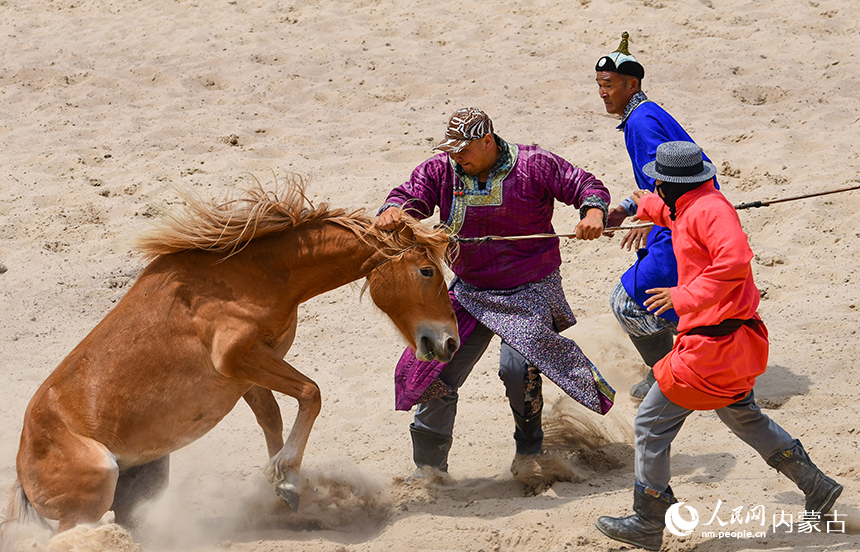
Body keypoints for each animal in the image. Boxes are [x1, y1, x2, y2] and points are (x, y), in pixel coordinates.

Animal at [6, 180, 459, 533]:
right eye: (426, 271)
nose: (450, 342)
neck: (251, 275)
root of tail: (22, 473)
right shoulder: (238, 358)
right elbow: (311, 393)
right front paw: (287, 478)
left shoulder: (247, 373)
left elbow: (275, 417)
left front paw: (284, 484)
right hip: (96, 486)